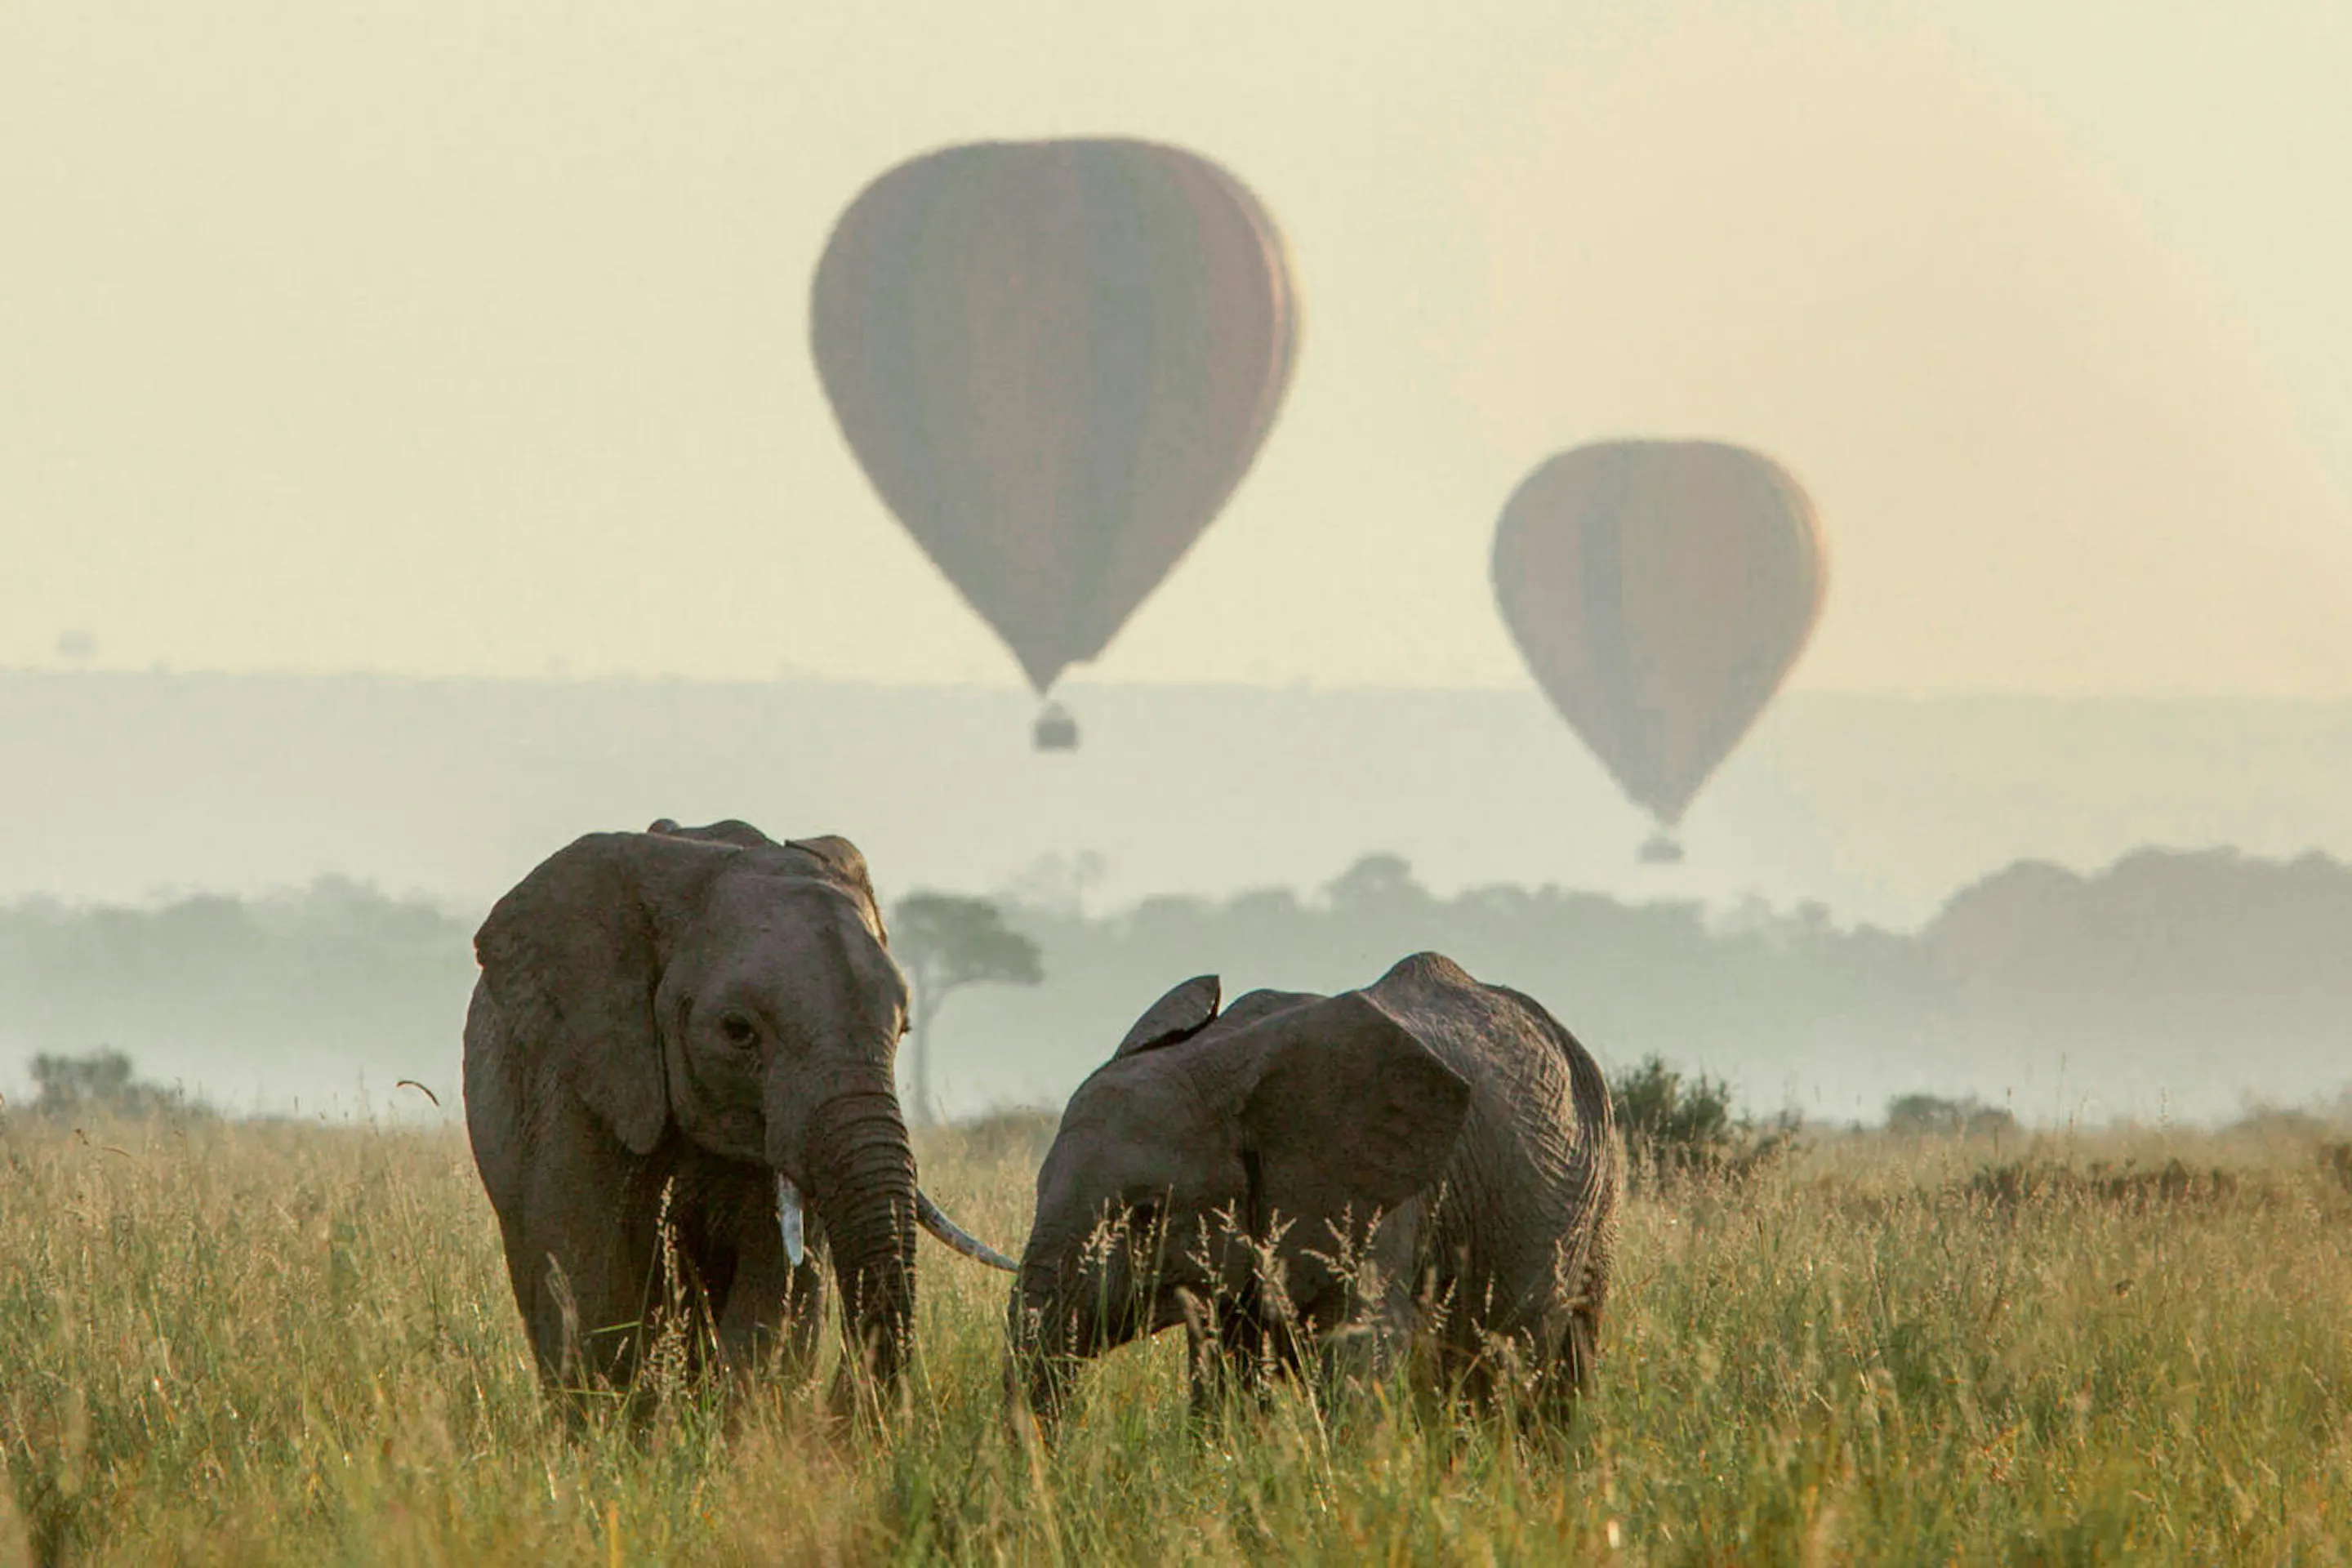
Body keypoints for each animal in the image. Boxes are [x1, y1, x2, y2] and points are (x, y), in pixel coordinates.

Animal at [1010, 952, 1620, 1425]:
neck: (1223, 1061)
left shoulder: (1377, 1203)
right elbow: (1224, 1384)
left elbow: (1358, 1362)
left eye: (1147, 1214)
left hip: (1599, 1194)